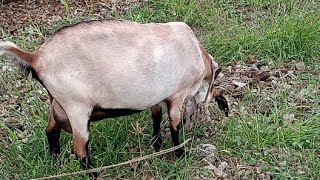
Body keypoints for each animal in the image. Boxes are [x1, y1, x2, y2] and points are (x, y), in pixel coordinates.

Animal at [1, 19, 229, 177]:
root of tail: (36, 57)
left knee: (51, 131)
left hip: (57, 105)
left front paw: (156, 143)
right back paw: (93, 174)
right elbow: (174, 124)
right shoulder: (177, 95)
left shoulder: (155, 96)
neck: (198, 57)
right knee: (79, 149)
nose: (196, 123)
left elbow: (156, 116)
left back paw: (56, 162)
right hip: (77, 108)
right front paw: (180, 153)